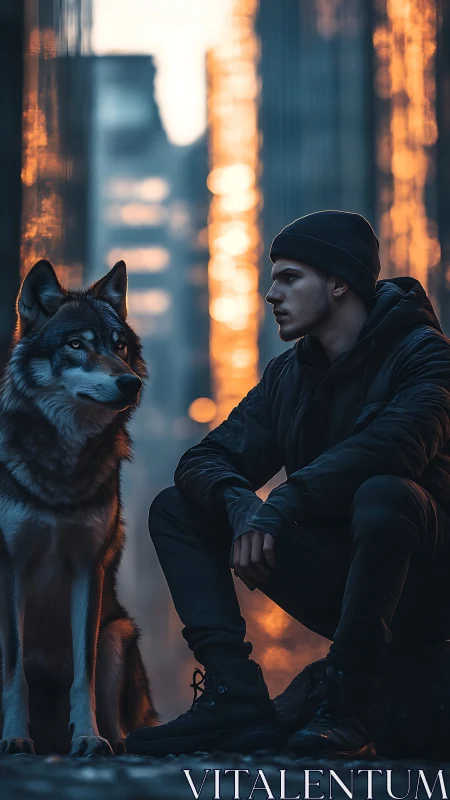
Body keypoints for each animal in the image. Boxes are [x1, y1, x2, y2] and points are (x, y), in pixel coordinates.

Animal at [0, 259, 158, 756]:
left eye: (120, 346)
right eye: (76, 345)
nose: (130, 382)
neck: (61, 467)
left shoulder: (88, 569)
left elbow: (82, 675)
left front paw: (87, 737)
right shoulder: (10, 568)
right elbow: (13, 673)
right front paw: (14, 737)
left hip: (117, 634)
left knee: (119, 723)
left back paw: (111, 741)